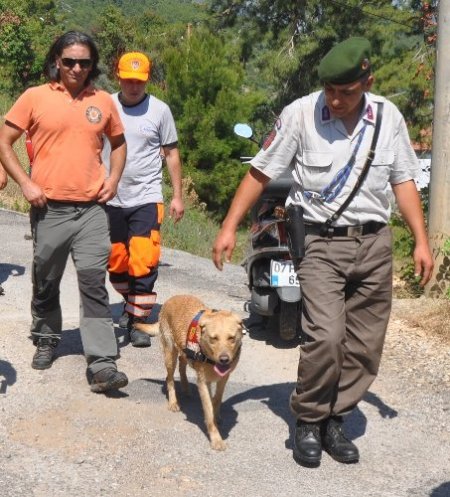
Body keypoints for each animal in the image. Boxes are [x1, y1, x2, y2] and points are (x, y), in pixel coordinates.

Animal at [148, 292, 243, 452]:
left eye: (231, 338)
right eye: (213, 338)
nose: (224, 360)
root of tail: (172, 298)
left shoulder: (223, 379)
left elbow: (216, 400)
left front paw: (217, 415)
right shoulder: (203, 382)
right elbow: (208, 410)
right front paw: (216, 439)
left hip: (183, 351)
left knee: (182, 366)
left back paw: (186, 388)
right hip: (169, 354)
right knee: (169, 378)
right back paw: (173, 402)